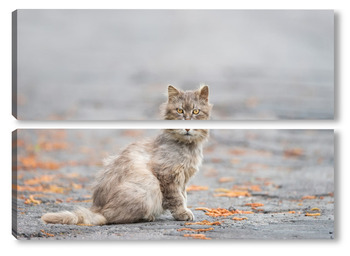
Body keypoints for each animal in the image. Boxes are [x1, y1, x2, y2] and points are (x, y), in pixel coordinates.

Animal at [40, 85, 211, 225]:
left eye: (196, 111)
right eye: (179, 111)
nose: (187, 127)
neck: (188, 147)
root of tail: (98, 209)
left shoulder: (184, 179)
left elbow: (184, 195)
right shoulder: (167, 175)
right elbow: (177, 198)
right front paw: (182, 214)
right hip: (147, 186)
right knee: (112, 218)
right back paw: (147, 217)